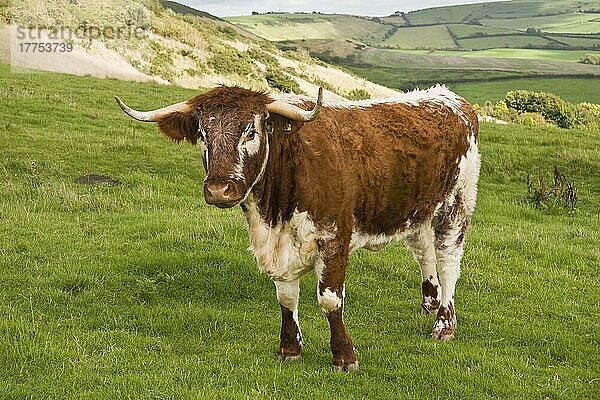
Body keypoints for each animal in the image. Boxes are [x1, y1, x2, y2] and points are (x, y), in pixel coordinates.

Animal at [117, 85, 480, 372]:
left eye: (251, 131)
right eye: (202, 135)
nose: (219, 189)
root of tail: (449, 97)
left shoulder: (335, 238)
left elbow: (330, 301)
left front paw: (344, 356)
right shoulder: (278, 247)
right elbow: (286, 297)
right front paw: (290, 348)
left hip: (457, 202)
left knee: (448, 260)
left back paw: (444, 323)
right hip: (418, 210)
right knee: (424, 251)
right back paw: (429, 302)